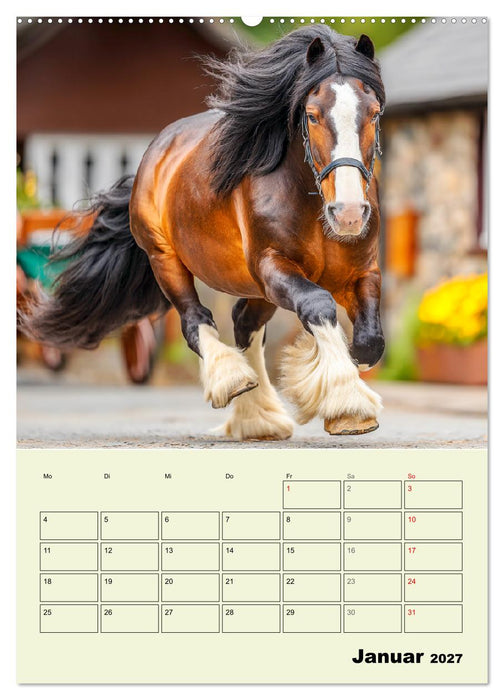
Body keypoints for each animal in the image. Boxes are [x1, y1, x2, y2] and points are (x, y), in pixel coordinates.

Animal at [22, 25, 386, 441]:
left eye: (374, 112)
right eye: (312, 115)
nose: (349, 213)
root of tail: (155, 150)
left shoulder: (361, 273)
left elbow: (370, 343)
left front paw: (344, 402)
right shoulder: (273, 267)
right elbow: (319, 306)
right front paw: (347, 402)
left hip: (257, 288)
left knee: (244, 322)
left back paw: (257, 418)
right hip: (166, 260)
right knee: (195, 320)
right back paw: (233, 382)